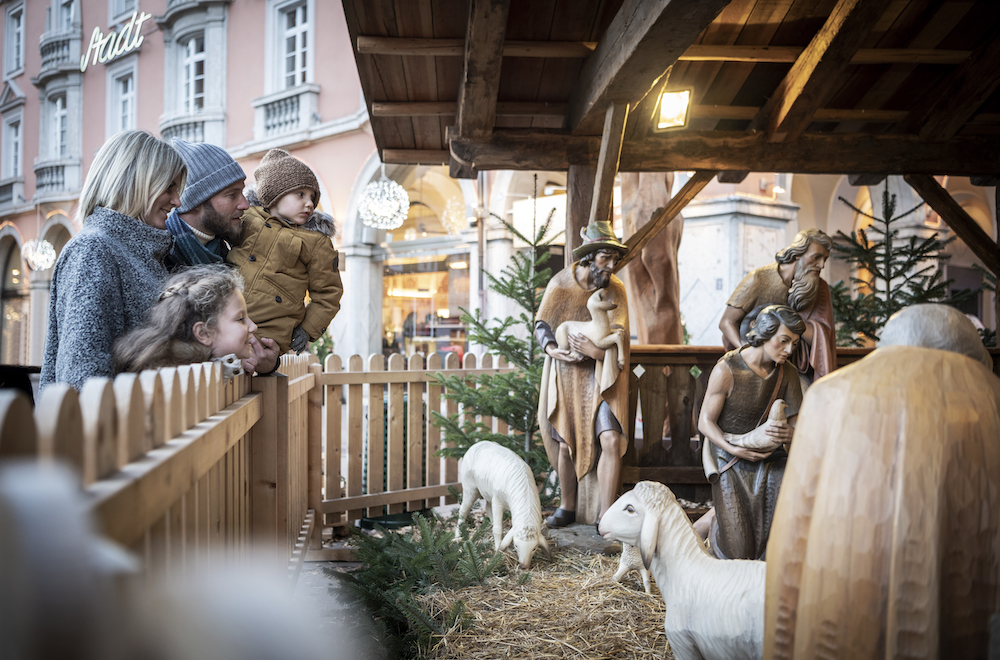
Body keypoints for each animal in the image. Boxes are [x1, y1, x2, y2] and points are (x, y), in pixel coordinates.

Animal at [458, 440, 552, 568]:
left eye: (534, 548)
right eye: (516, 545)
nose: (524, 566)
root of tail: (478, 443)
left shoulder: (495, 499)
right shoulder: (498, 501)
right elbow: (498, 528)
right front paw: (498, 548)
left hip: (488, 493)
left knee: (487, 507)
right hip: (470, 488)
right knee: (463, 510)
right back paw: (457, 535)